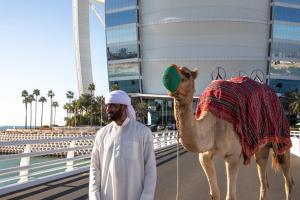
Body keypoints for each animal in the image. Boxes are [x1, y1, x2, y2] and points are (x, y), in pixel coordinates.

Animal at [164, 65, 292, 200]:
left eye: (187, 74)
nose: (168, 76)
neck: (213, 123)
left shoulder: (232, 156)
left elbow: (230, 196)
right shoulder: (204, 155)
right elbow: (214, 194)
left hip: (281, 136)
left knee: (288, 179)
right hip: (262, 147)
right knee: (263, 180)